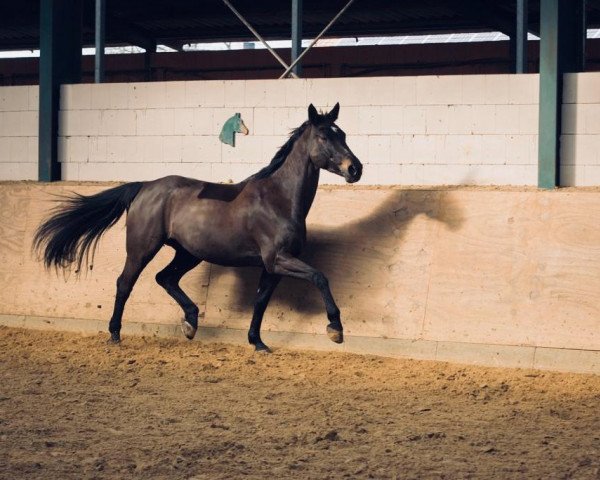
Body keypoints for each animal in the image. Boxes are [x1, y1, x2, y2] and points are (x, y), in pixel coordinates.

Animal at [35, 104, 364, 352]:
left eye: (343, 134)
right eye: (323, 136)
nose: (355, 169)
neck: (277, 198)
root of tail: (144, 187)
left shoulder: (271, 266)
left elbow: (260, 301)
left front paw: (257, 342)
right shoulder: (278, 259)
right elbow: (320, 277)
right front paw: (335, 328)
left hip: (188, 253)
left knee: (165, 278)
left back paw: (191, 322)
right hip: (142, 248)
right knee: (125, 283)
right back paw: (115, 334)